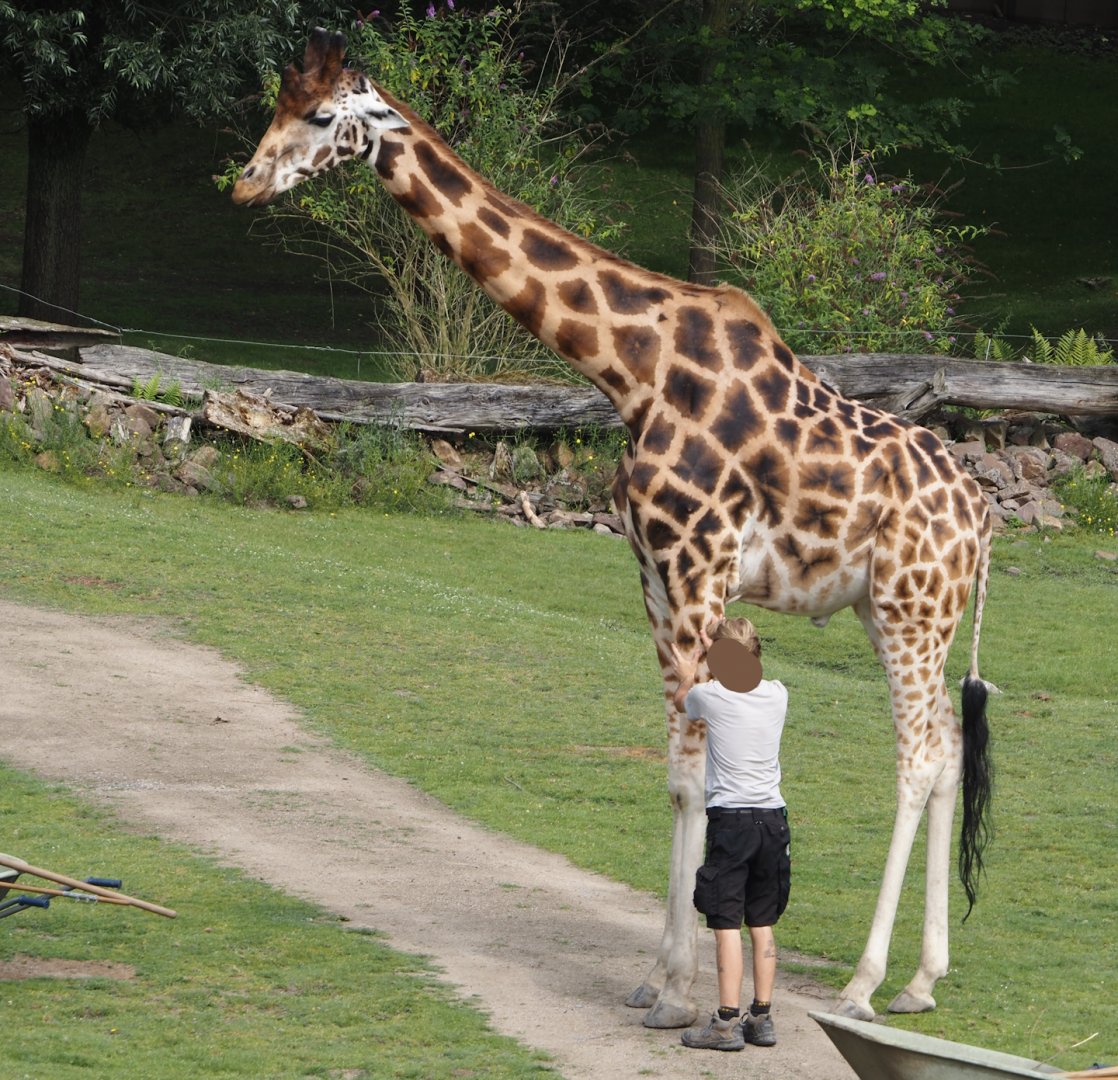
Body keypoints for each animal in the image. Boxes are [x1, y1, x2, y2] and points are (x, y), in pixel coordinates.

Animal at [232, 28, 994, 1026]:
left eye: (322, 116)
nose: (243, 183)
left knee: (917, 757)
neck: (629, 369)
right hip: (898, 612)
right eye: (276, 104)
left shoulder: (697, 569)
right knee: (947, 749)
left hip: (913, 613)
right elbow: (675, 779)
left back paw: (866, 982)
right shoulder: (653, 577)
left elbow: (698, 773)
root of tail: (984, 518)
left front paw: (679, 990)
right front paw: (658, 974)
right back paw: (920, 980)